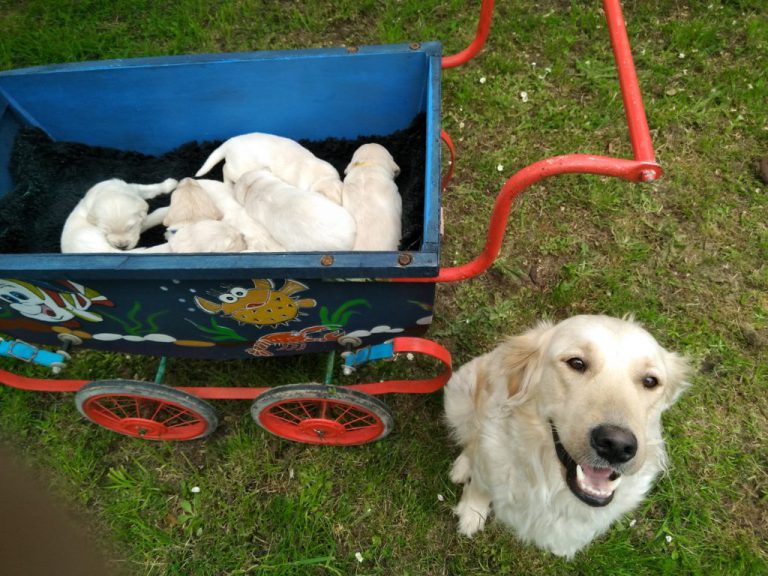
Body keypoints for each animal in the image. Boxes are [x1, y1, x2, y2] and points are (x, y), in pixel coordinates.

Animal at [444, 316, 688, 560]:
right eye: (576, 363)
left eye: (650, 381)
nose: (616, 445)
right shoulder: (488, 466)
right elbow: (479, 487)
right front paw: (471, 514)